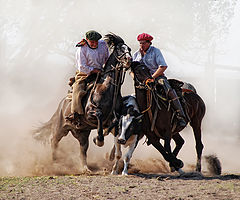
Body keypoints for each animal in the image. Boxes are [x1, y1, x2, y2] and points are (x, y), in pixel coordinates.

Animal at [33, 33, 131, 173]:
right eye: (119, 49)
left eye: (129, 49)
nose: (129, 60)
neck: (107, 88)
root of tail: (60, 107)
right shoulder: (91, 113)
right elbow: (99, 116)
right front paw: (99, 140)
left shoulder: (112, 117)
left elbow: (115, 124)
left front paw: (109, 150)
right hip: (59, 129)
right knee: (54, 141)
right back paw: (55, 163)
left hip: (82, 133)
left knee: (83, 150)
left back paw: (86, 168)